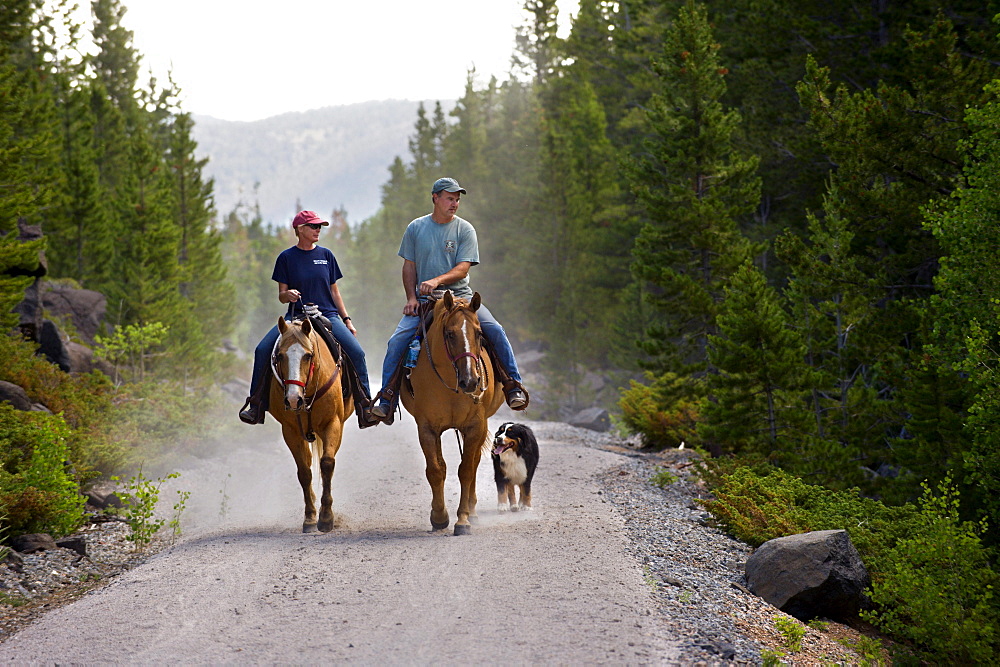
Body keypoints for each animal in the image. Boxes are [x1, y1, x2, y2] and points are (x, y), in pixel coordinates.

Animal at [270, 318, 352, 532]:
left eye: (308, 355)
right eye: (279, 356)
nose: (293, 399)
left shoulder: (333, 423)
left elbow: (327, 463)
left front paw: (326, 517)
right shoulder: (290, 431)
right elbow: (305, 472)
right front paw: (310, 517)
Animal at [400, 292, 504, 536]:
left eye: (479, 333)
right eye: (449, 334)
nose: (471, 381)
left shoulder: (475, 426)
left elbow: (466, 470)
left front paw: (463, 520)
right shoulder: (427, 428)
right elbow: (436, 470)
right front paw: (439, 517)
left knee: (474, 462)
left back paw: (473, 512)